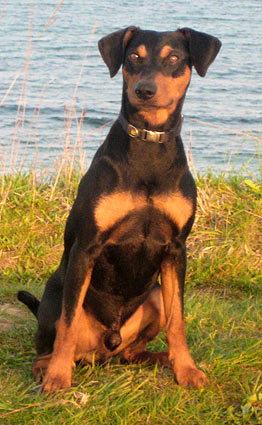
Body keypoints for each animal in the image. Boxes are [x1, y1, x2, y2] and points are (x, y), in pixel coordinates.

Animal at [17, 26, 221, 390]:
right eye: (133, 57)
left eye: (174, 57)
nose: (145, 90)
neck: (148, 145)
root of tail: (104, 347)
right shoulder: (87, 246)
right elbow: (68, 323)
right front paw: (58, 377)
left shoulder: (176, 249)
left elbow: (178, 321)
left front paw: (186, 370)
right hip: (56, 293)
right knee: (53, 338)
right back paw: (48, 367)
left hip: (154, 295)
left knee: (132, 351)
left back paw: (160, 358)